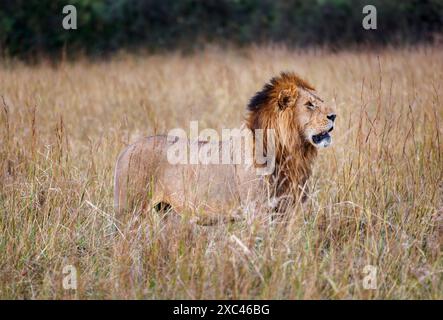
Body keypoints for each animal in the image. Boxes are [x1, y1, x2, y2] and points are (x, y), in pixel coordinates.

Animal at [114, 72, 336, 222]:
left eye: (321, 101)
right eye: (309, 105)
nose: (334, 116)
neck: (291, 150)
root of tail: (127, 149)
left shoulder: (287, 209)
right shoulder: (258, 210)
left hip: (165, 211)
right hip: (129, 210)